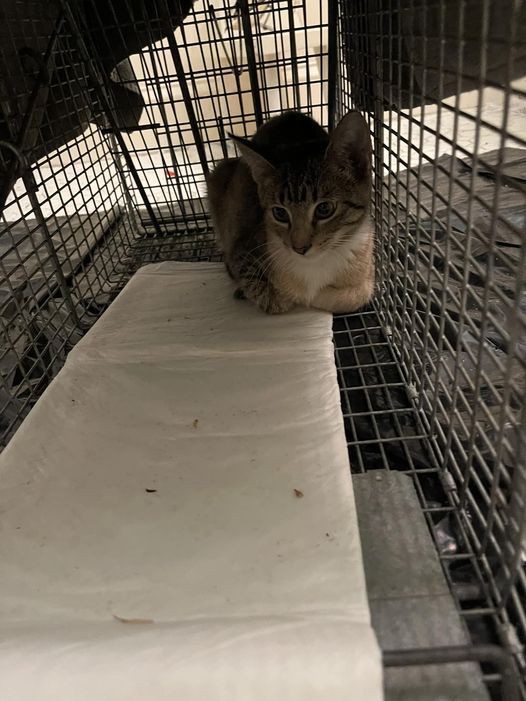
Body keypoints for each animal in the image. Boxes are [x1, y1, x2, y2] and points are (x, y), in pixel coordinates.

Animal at [206, 110, 376, 314]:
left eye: (324, 209)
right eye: (280, 213)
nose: (299, 248)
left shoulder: (368, 269)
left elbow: (355, 296)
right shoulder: (243, 249)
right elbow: (272, 297)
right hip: (219, 174)